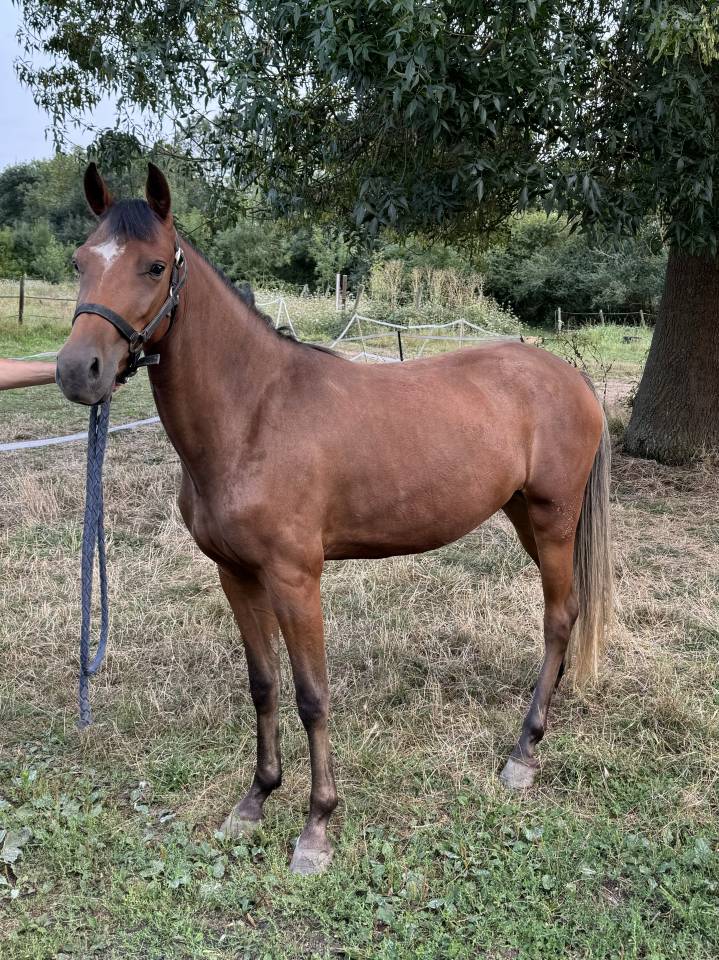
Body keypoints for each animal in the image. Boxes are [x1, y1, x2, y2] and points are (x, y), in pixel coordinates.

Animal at [56, 164, 613, 875]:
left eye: (154, 266)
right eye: (80, 261)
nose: (79, 371)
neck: (254, 415)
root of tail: (570, 377)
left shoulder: (296, 579)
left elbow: (311, 695)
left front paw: (317, 827)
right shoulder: (236, 575)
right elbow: (264, 685)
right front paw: (255, 800)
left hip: (552, 519)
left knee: (559, 618)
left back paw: (523, 751)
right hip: (523, 517)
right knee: (567, 616)